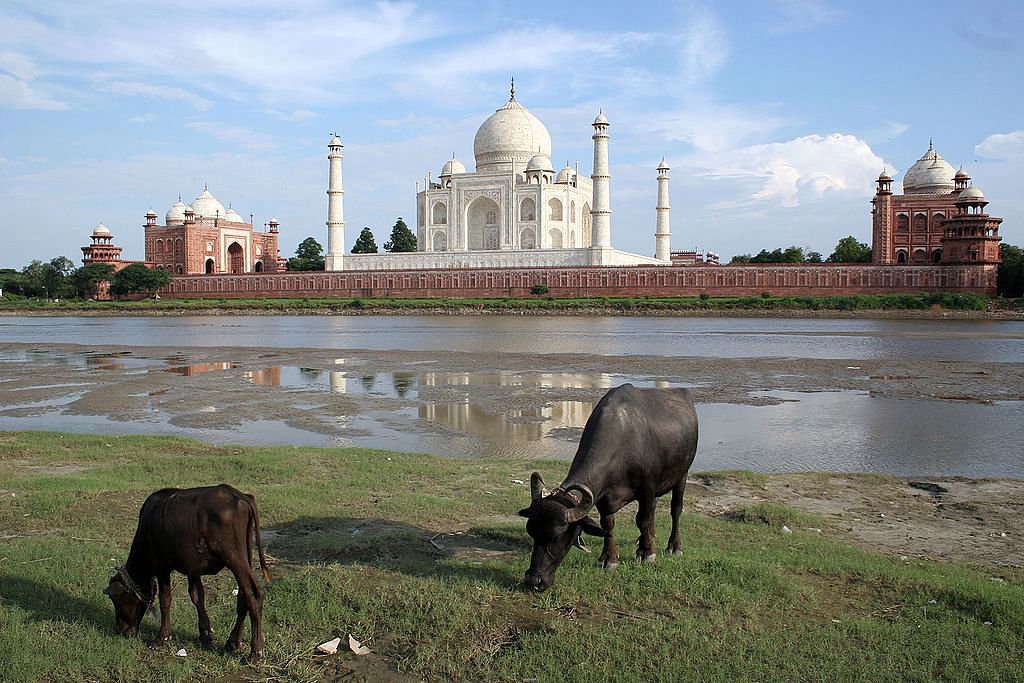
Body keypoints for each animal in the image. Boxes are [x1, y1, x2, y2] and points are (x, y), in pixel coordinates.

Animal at [103, 483, 270, 659]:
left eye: (116, 599)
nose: (121, 630)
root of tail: (240, 496)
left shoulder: (162, 567)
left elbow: (165, 600)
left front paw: (162, 637)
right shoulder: (193, 569)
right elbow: (197, 596)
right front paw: (205, 633)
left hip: (235, 560)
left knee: (254, 595)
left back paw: (255, 651)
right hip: (246, 558)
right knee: (243, 597)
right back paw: (233, 642)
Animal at [516, 385, 700, 593]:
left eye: (556, 536)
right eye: (531, 532)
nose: (533, 581)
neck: (623, 441)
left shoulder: (647, 488)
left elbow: (642, 520)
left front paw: (647, 553)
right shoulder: (603, 497)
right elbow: (608, 524)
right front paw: (608, 558)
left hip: (682, 474)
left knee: (675, 509)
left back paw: (673, 547)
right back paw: (646, 538)